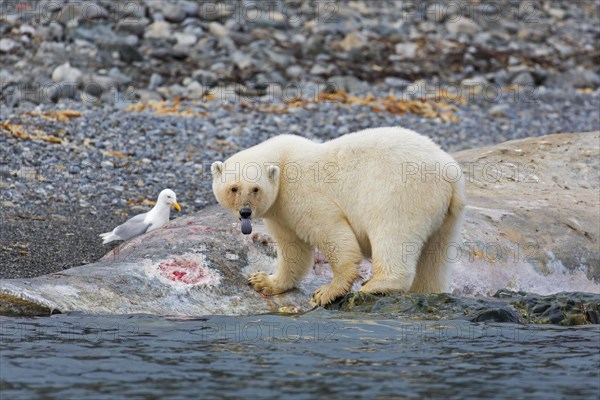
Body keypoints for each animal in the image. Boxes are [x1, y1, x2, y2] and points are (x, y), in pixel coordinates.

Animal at [211, 128, 468, 306]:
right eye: (234, 188)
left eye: (255, 189)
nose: (245, 212)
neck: (282, 161)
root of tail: (450, 173)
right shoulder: (281, 213)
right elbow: (293, 249)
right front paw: (263, 281)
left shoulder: (303, 193)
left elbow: (333, 234)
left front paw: (327, 291)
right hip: (446, 216)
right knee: (435, 255)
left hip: (401, 192)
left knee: (392, 233)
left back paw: (374, 286)